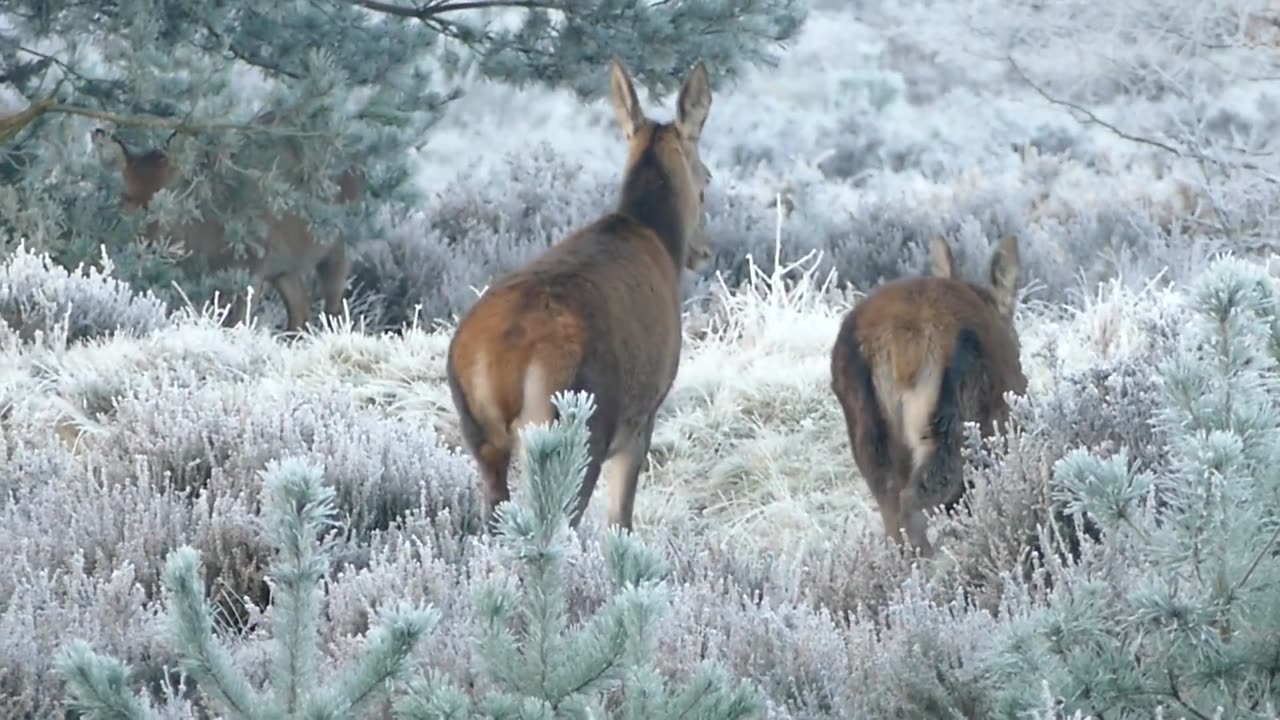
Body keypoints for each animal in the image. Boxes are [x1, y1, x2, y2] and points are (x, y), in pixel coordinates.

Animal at [92, 115, 363, 333]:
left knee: (333, 310)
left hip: (339, 249)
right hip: (285, 267)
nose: (145, 242)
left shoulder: (251, 267)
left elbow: (237, 323)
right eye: (127, 196)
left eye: (170, 195)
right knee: (301, 313)